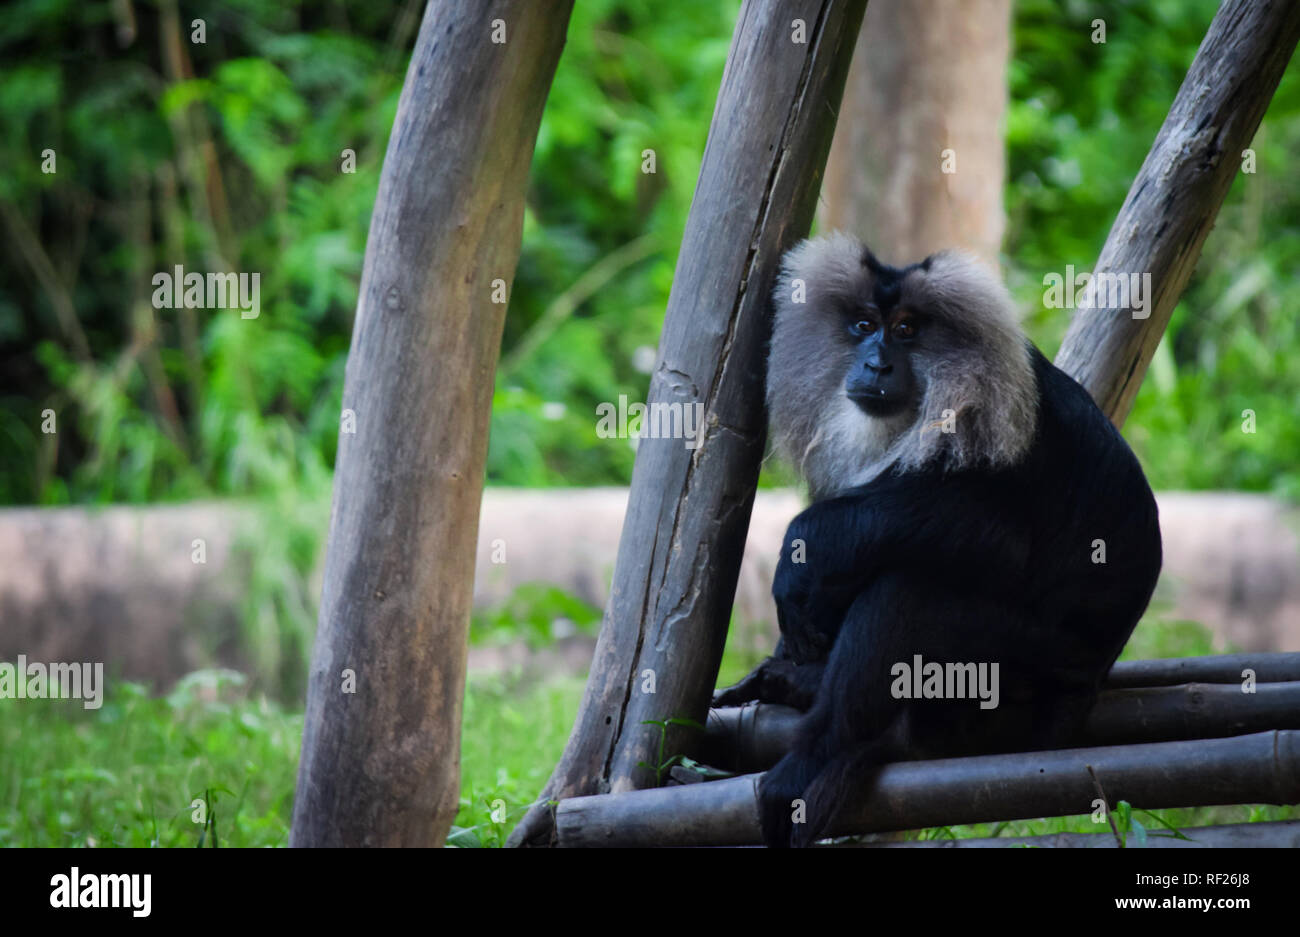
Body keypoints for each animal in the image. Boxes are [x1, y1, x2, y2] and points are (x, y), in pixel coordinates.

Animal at [717, 233, 1164, 847]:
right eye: (863, 325)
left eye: (907, 329)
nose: (876, 363)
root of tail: (1088, 686)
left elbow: (995, 539)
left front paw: (797, 557)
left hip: (1023, 674)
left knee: (908, 589)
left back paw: (813, 761)